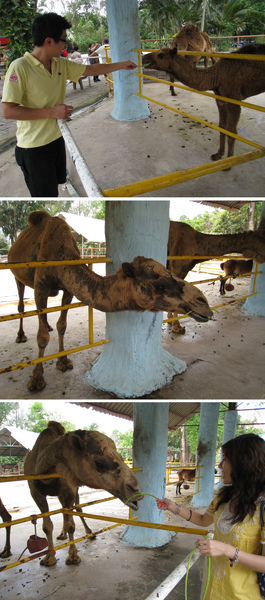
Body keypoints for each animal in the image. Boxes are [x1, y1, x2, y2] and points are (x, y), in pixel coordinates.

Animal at [7, 212, 212, 394]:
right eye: (160, 285)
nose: (203, 303)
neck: (60, 257)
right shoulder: (40, 288)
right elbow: (42, 338)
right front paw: (36, 379)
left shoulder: (68, 290)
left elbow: (62, 325)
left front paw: (63, 361)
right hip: (17, 275)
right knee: (21, 306)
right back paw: (20, 336)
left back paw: (46, 327)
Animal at [23, 420, 142, 564]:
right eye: (99, 463)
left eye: (121, 456)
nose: (135, 491)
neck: (44, 471)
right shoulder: (35, 492)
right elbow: (47, 526)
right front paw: (49, 558)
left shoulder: (69, 489)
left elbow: (70, 524)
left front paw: (73, 556)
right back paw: (63, 535)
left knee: (76, 510)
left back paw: (90, 533)